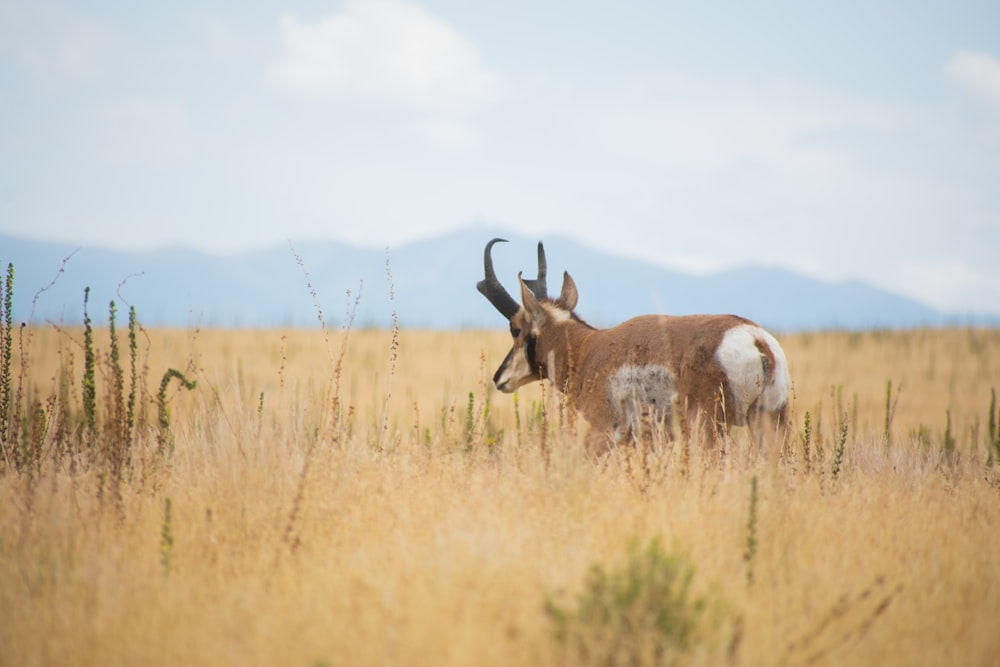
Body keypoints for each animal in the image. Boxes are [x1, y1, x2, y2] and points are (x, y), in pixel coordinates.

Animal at [476, 237, 788, 452]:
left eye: (515, 328)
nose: (498, 377)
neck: (587, 348)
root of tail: (755, 338)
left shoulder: (602, 432)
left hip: (708, 429)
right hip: (769, 423)